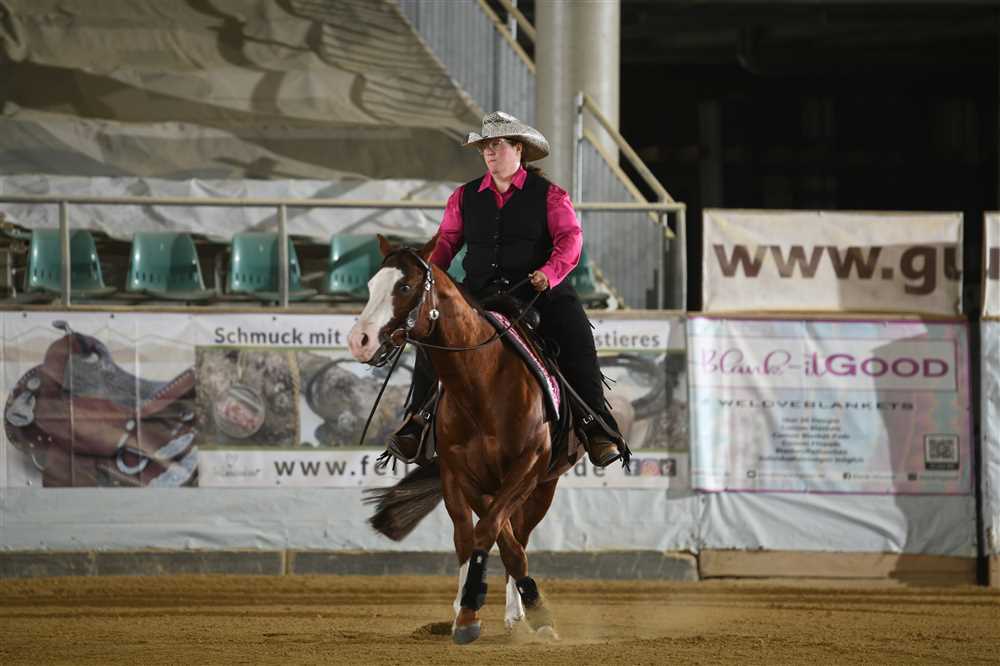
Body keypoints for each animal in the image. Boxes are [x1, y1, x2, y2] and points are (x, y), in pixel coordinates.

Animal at [347, 233, 577, 644]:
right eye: (372, 286)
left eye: (404, 287)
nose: (360, 340)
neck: (482, 382)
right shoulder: (462, 473)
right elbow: (483, 535)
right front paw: (467, 611)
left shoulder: (529, 466)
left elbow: (502, 538)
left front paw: (533, 611)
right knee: (475, 535)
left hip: (543, 487)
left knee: (518, 535)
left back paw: (515, 611)